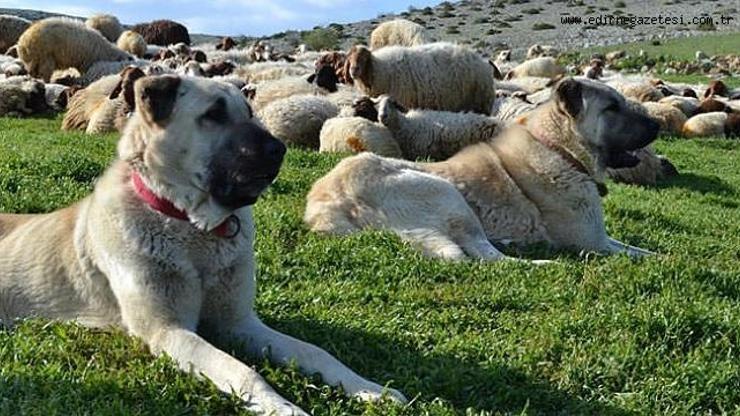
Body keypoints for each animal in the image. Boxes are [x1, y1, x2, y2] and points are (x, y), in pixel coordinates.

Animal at [0, 75, 404, 416]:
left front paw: (370, 389)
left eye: (250, 114)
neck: (193, 228)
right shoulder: (168, 331)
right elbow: (243, 371)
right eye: (213, 115)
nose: (280, 148)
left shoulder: (239, 323)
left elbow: (316, 352)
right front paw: (285, 408)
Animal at [304, 78, 660, 260]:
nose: (657, 124)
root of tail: (330, 203)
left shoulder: (603, 238)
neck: (560, 151)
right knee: (486, 256)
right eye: (612, 107)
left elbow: (640, 248)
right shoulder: (594, 243)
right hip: (448, 194)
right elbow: (647, 254)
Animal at [346, 42, 498, 114]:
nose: (353, 70)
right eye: (349, 58)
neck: (379, 68)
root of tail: (481, 60)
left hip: (482, 102)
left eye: (364, 58)